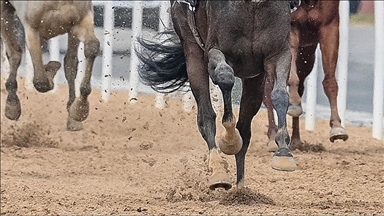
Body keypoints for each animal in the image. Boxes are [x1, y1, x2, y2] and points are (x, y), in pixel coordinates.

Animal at [0, 0, 100, 130]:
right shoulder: (32, 29)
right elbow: (41, 82)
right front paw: (51, 71)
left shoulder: (81, 20)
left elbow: (92, 47)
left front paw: (80, 109)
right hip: (4, 13)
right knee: (15, 53)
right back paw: (12, 105)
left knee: (70, 63)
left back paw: (72, 119)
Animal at [135, 0, 296, 190]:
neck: (251, 4)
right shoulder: (215, 52)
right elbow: (225, 78)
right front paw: (229, 140)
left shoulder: (279, 53)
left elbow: (280, 95)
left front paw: (284, 152)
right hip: (192, 52)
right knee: (206, 117)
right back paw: (218, 171)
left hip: (254, 79)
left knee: (245, 128)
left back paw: (240, 189)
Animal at [264, 0, 348, 151]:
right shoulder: (291, 28)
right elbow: (290, 78)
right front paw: (293, 104)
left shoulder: (329, 26)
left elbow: (330, 81)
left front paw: (337, 126)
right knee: (268, 90)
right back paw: (273, 136)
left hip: (307, 56)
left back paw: (295, 139)